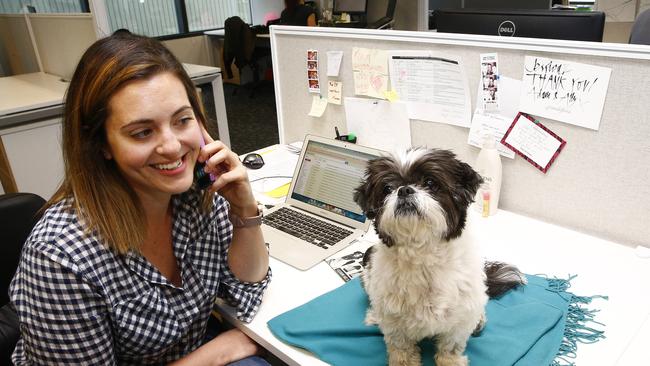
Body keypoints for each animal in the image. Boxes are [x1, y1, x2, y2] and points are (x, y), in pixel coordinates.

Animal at [352, 147, 524, 366]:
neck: (423, 258)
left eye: (430, 183)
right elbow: (401, 347)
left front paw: (451, 361)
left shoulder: (459, 319)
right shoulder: (394, 323)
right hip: (368, 271)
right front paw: (403, 361)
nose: (404, 190)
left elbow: (451, 346)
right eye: (388, 188)